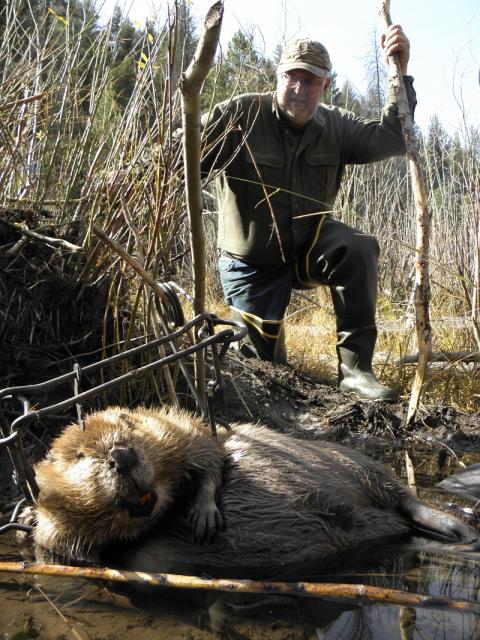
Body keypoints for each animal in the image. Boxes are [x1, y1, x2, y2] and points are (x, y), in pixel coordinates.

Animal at [24, 406, 478, 574]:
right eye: (80, 456)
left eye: (127, 427)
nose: (122, 456)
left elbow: (209, 453)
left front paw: (204, 513)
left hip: (349, 457)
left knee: (400, 492)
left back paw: (456, 530)